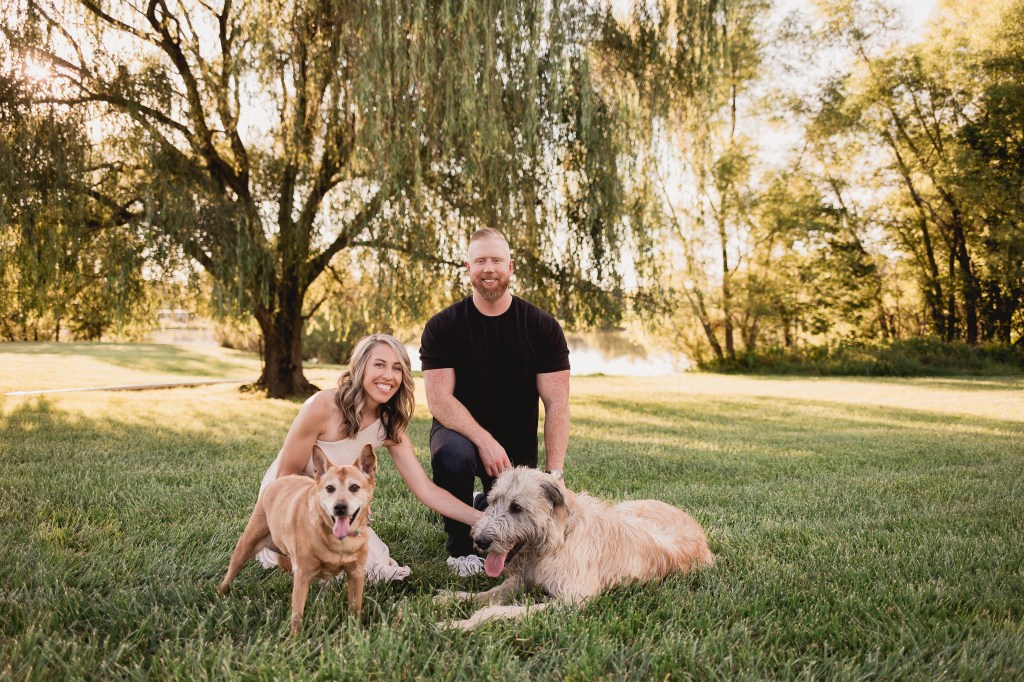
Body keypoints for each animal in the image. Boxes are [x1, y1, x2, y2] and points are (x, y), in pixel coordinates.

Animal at [218, 444, 376, 634]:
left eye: (354, 487)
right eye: (330, 488)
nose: (339, 507)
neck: (338, 541)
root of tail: (281, 479)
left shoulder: (356, 574)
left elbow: (355, 607)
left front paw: (355, 630)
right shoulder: (303, 574)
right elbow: (297, 614)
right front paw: (295, 638)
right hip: (247, 543)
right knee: (232, 569)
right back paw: (221, 593)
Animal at [435, 467, 714, 630]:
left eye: (516, 507)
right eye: (493, 502)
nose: (480, 541)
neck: (558, 540)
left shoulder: (573, 600)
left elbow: (499, 611)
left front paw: (462, 623)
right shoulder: (524, 578)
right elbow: (491, 593)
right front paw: (452, 598)